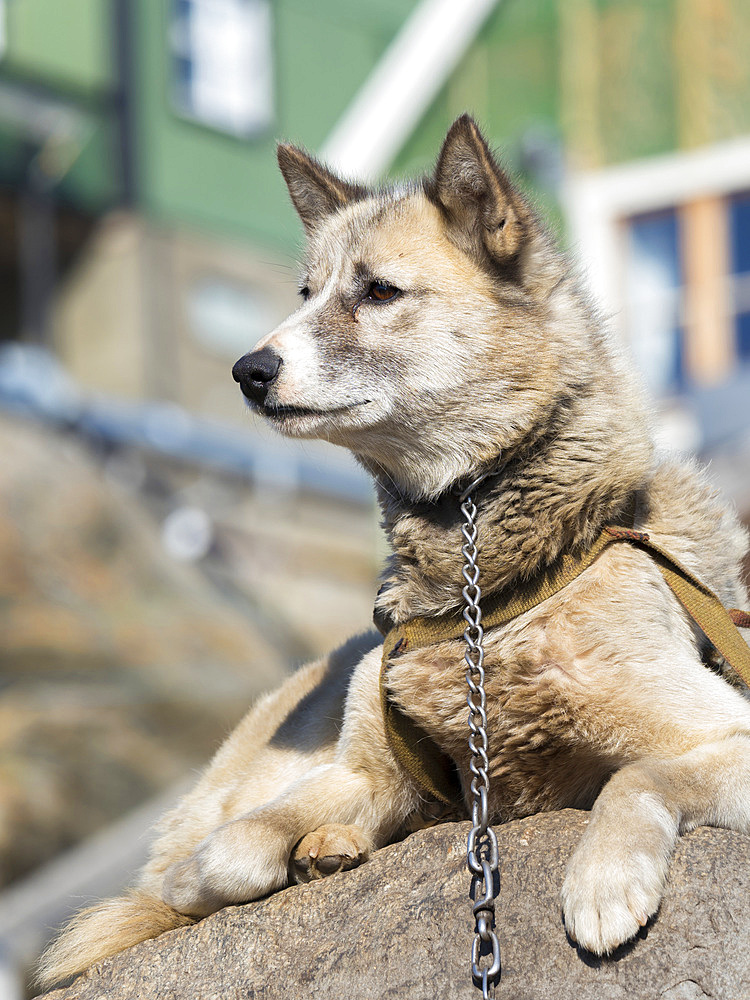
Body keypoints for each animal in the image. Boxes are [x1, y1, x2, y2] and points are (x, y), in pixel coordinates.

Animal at [39, 115, 750, 984]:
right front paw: (203, 880)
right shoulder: (360, 770)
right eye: (305, 294)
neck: (488, 586)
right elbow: (230, 851)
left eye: (378, 290)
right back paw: (323, 848)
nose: (247, 370)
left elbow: (641, 774)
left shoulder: (725, 732)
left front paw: (604, 880)